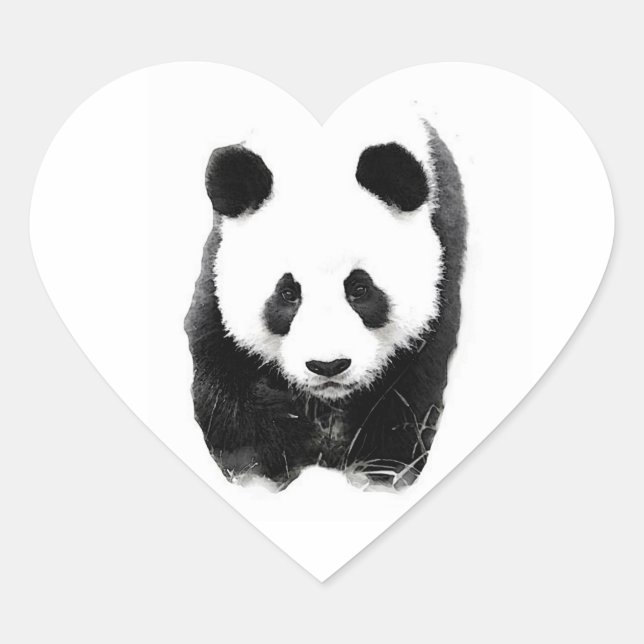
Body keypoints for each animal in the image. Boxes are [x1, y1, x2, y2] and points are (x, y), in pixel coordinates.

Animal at [185, 115, 467, 490]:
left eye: (360, 289)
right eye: (287, 293)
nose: (328, 366)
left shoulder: (443, 260)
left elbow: (410, 391)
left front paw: (375, 469)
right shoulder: (217, 271)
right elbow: (221, 382)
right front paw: (289, 444)